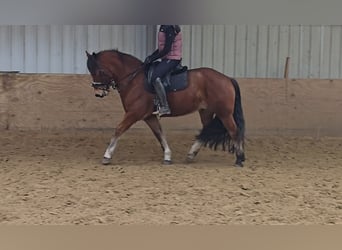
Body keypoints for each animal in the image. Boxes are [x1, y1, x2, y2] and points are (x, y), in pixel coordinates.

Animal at [85, 48, 246, 166]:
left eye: (99, 71)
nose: (98, 93)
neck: (134, 79)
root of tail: (227, 78)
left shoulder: (134, 113)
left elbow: (119, 129)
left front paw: (107, 156)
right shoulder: (148, 117)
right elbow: (159, 134)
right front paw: (167, 156)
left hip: (224, 113)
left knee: (233, 131)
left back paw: (239, 159)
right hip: (206, 111)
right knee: (206, 131)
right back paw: (191, 155)